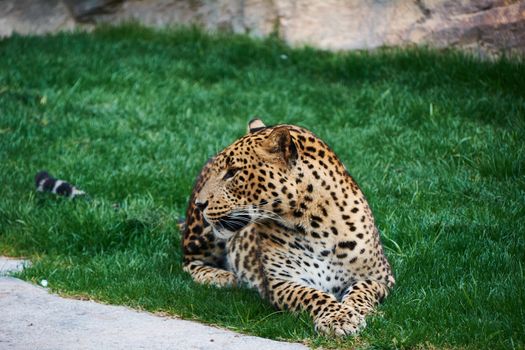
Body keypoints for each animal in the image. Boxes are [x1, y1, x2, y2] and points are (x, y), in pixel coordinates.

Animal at [181, 120, 392, 336]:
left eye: (233, 172)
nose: (200, 204)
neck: (317, 226)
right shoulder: (282, 282)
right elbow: (312, 295)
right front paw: (339, 318)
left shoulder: (382, 278)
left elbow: (363, 289)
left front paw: (363, 312)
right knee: (188, 261)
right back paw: (222, 277)